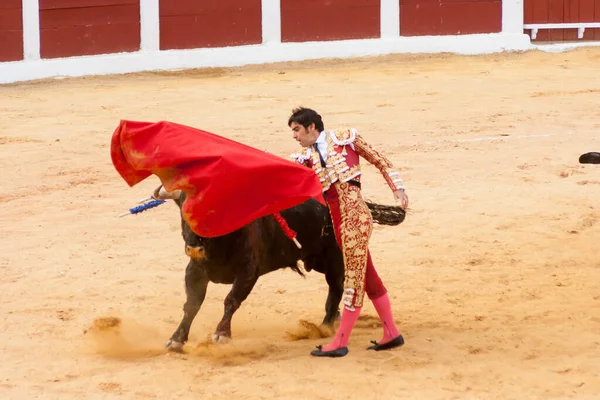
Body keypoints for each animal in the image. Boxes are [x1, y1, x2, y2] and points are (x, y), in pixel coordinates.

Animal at [152, 186, 408, 352]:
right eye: (183, 213)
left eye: (213, 212)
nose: (194, 247)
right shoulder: (195, 270)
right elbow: (191, 305)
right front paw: (176, 339)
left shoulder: (248, 272)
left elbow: (231, 300)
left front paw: (222, 335)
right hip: (318, 261)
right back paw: (331, 321)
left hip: (335, 258)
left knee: (337, 287)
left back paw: (325, 327)